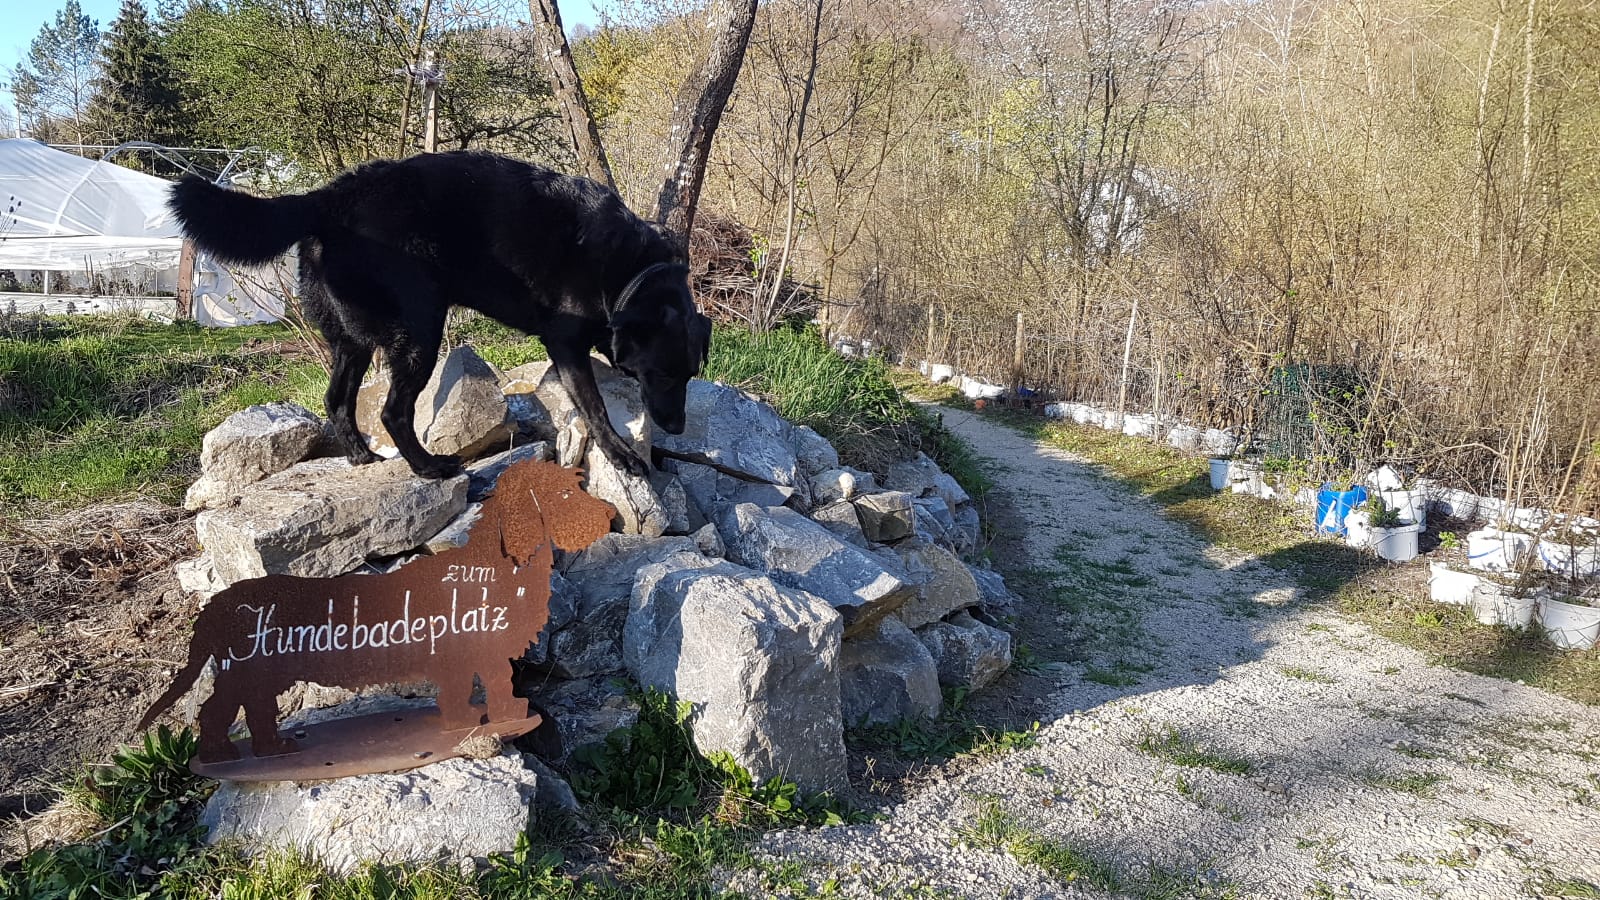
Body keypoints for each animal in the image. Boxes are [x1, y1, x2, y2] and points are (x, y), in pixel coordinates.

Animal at [167, 150, 707, 480]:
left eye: (690, 374)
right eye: (662, 374)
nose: (678, 428)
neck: (629, 269)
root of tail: (334, 196)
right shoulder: (565, 345)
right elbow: (593, 406)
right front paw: (621, 453)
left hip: (353, 341)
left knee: (337, 399)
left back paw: (360, 455)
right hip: (419, 333)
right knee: (392, 410)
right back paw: (427, 467)